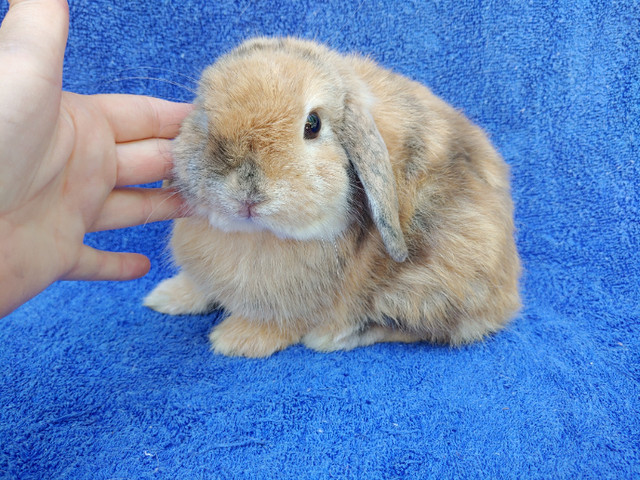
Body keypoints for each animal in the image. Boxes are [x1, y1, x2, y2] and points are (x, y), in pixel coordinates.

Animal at [144, 36, 520, 356]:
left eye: (313, 124)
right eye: (204, 115)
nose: (247, 192)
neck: (255, 235)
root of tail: (510, 292)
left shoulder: (294, 306)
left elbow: (280, 323)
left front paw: (234, 339)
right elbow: (198, 289)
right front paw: (164, 297)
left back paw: (334, 337)